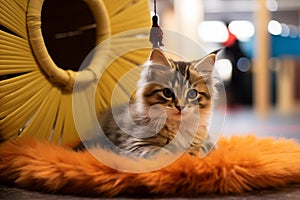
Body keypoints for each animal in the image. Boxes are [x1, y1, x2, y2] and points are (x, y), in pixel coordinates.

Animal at [77, 48, 218, 158]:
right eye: (168, 92)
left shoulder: (207, 141)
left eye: (192, 94)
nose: (180, 107)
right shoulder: (134, 143)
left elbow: (198, 149)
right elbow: (163, 153)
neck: (177, 126)